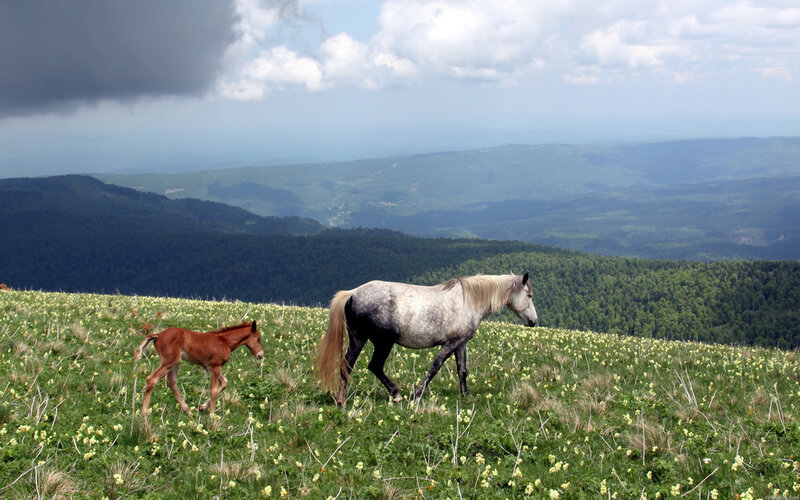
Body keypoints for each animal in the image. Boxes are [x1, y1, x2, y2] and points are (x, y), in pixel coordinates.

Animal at [134, 321, 263, 415]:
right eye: (258, 339)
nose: (260, 355)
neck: (224, 342)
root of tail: (158, 335)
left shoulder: (210, 367)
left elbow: (224, 383)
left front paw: (202, 407)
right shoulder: (215, 367)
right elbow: (213, 391)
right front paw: (212, 416)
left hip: (175, 363)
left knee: (171, 382)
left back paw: (188, 411)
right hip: (169, 362)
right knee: (152, 380)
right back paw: (144, 413)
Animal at [314, 273, 538, 406]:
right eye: (529, 295)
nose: (533, 321)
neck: (469, 300)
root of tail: (352, 293)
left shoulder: (461, 343)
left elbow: (462, 370)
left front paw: (465, 395)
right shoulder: (450, 343)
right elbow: (435, 367)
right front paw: (417, 394)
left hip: (358, 339)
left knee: (347, 365)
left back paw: (341, 400)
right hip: (384, 342)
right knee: (375, 365)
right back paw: (396, 394)